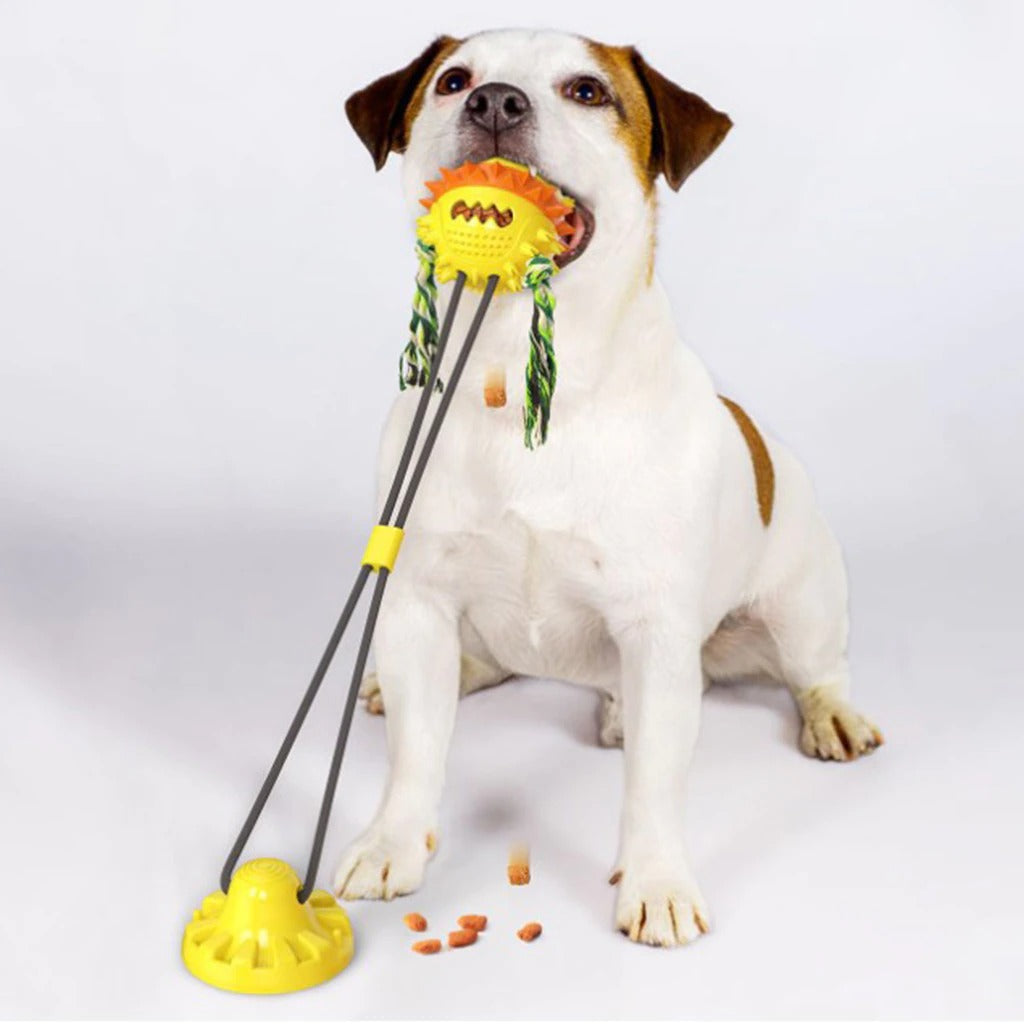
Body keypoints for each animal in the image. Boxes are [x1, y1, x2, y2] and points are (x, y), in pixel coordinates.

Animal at [333, 28, 880, 946]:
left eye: (588, 91)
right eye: (453, 80)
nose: (496, 102)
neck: (509, 370)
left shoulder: (655, 631)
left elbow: (654, 785)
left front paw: (656, 882)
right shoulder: (416, 604)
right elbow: (416, 751)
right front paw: (391, 842)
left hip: (801, 604)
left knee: (813, 669)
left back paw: (826, 713)